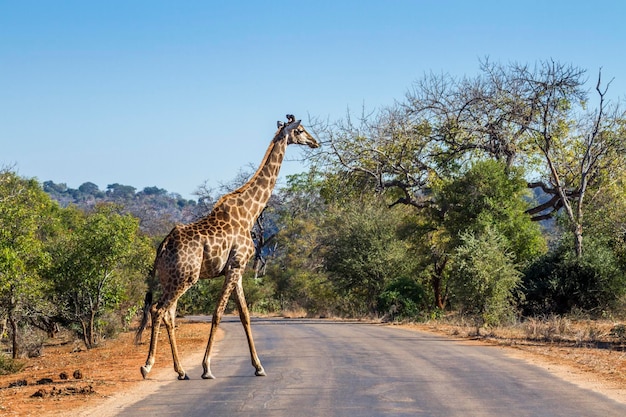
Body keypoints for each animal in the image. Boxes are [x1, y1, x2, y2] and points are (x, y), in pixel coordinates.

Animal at [135, 114, 316, 380]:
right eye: (301, 130)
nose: (315, 142)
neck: (250, 212)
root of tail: (162, 247)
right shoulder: (236, 266)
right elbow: (218, 313)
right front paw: (207, 368)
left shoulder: (237, 270)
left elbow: (245, 315)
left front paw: (259, 366)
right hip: (185, 278)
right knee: (158, 310)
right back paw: (147, 366)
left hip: (172, 279)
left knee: (168, 313)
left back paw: (181, 371)